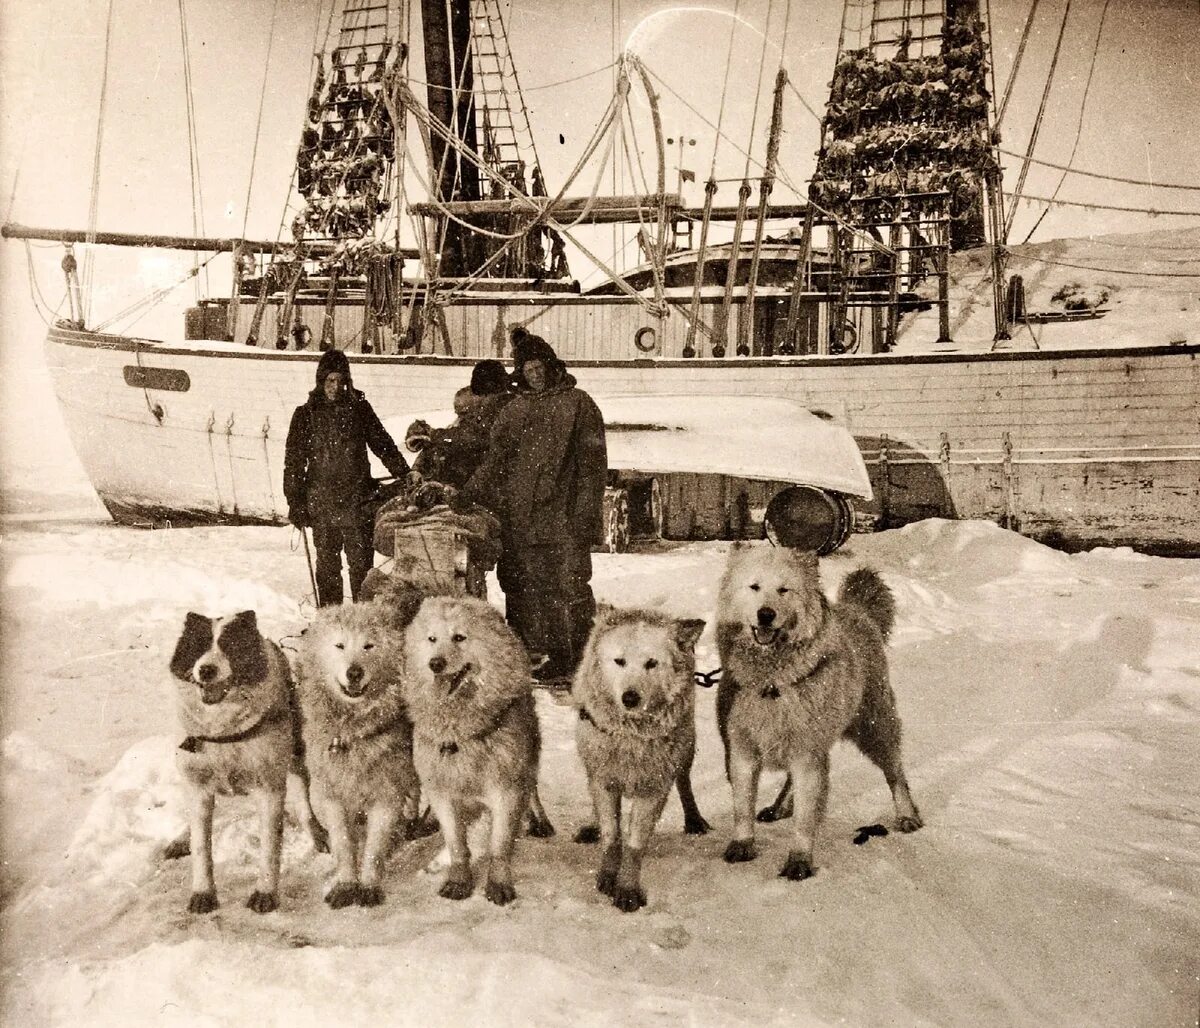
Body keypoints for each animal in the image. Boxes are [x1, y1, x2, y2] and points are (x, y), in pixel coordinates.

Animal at [292, 602, 420, 906]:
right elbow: (343, 843)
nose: (354, 673)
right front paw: (346, 884)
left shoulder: (386, 794)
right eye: (339, 645)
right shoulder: (333, 796)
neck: (353, 731)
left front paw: (369, 886)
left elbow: (373, 848)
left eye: (368, 646)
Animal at [405, 592, 542, 906]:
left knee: (533, 785)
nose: (435, 664)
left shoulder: (506, 790)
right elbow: (457, 844)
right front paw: (459, 881)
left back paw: (540, 819)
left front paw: (498, 884)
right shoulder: (443, 791)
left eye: (459, 637)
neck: (462, 731)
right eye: (431, 639)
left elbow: (499, 846)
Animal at [573, 604, 705, 911]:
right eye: (619, 661)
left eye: (651, 663)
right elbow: (612, 835)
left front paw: (627, 889)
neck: (630, 735)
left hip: (686, 748)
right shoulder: (604, 779)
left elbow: (634, 843)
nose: (630, 698)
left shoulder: (653, 786)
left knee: (684, 782)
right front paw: (608, 875)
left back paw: (695, 819)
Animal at [715, 542, 921, 878]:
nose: (766, 614)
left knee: (896, 774)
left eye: (784, 590)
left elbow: (805, 817)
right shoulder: (743, 750)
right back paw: (779, 806)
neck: (773, 680)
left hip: (875, 728)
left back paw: (907, 815)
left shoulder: (807, 753)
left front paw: (799, 860)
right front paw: (743, 844)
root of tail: (857, 609)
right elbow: (742, 806)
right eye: (754, 587)